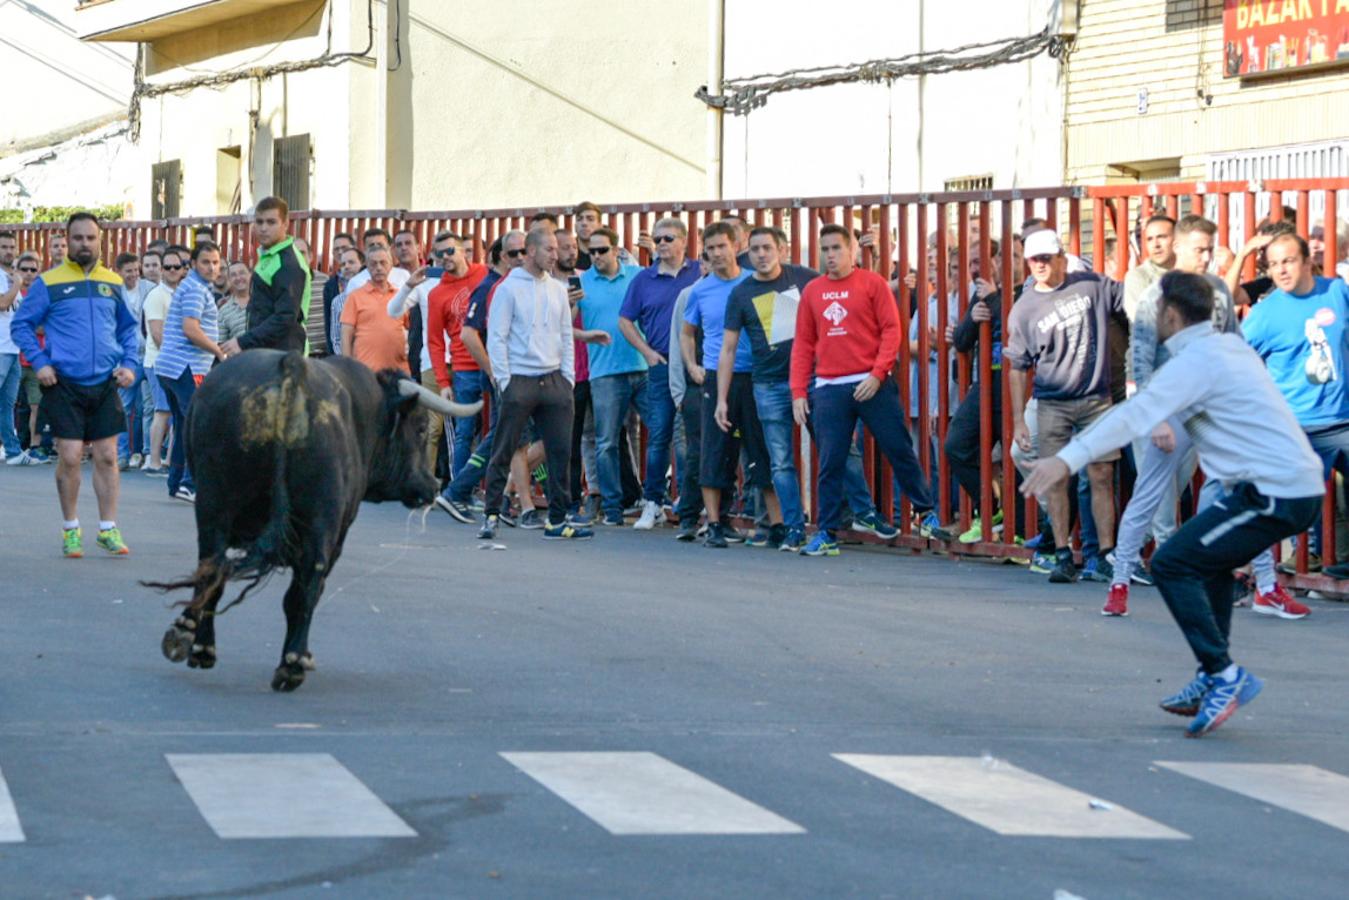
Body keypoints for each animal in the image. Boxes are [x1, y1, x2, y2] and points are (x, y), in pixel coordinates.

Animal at [145, 350, 482, 690]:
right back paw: (291, 664)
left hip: (214, 505)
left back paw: (195, 642)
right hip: (321, 519)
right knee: (307, 585)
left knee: (211, 569)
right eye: (421, 427)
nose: (433, 485)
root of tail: (291, 366)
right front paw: (302, 656)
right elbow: (307, 591)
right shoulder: (337, 532)